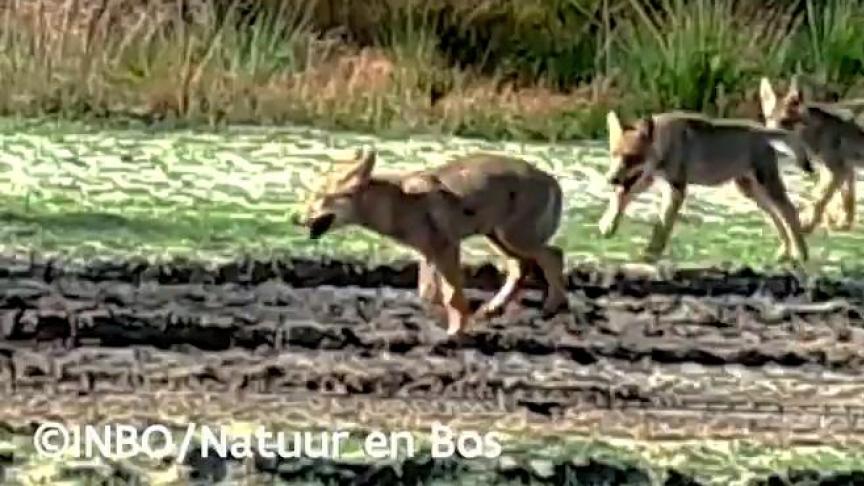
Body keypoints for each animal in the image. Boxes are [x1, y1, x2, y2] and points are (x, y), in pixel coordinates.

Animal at [296, 148, 568, 336]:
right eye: (310, 197)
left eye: (321, 198)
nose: (296, 219)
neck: (399, 203)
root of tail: (552, 179)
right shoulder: (428, 254)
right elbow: (429, 293)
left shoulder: (447, 247)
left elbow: (451, 296)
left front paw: (455, 332)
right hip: (500, 240)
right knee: (521, 268)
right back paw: (493, 309)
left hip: (514, 239)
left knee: (554, 256)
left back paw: (551, 308)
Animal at [596, 111, 812, 262]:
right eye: (613, 154)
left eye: (632, 158)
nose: (610, 179)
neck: (666, 142)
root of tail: (761, 130)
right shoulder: (646, 179)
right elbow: (618, 198)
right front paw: (608, 225)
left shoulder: (675, 189)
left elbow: (662, 226)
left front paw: (651, 253)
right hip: (751, 192)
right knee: (777, 218)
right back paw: (784, 253)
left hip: (766, 187)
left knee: (790, 212)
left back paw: (800, 254)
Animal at [760, 77, 864, 233]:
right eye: (770, 118)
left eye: (785, 121)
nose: (770, 136)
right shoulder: (842, 170)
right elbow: (844, 199)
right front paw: (843, 222)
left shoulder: (838, 171)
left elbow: (820, 200)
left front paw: (809, 224)